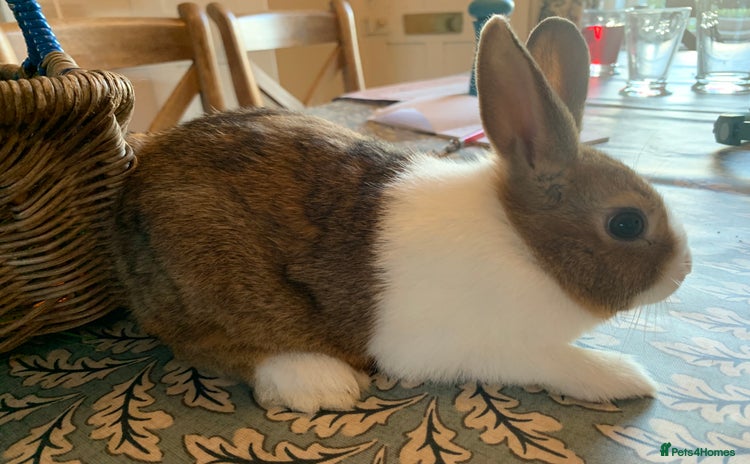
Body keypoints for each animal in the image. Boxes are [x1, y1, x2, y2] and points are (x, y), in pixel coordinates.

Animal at [110, 15, 691, 414]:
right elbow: (562, 362)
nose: (684, 272)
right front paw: (625, 376)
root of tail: (133, 188)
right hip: (207, 273)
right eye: (626, 224)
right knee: (205, 344)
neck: (523, 242)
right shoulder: (495, 346)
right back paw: (316, 381)